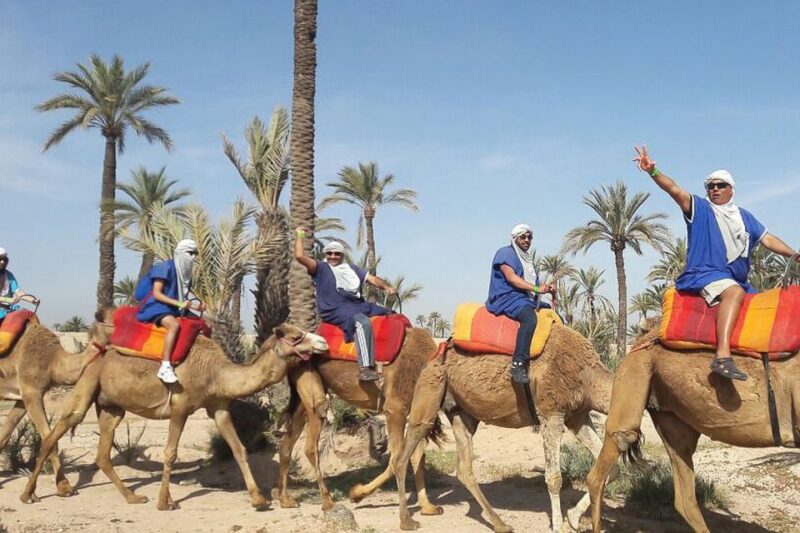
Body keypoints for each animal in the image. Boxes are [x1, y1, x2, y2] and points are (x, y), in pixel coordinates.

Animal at [0, 318, 110, 496]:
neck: (53, 361)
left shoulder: (22, 398)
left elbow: (4, 436)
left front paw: (63, 486)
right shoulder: (32, 392)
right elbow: (48, 438)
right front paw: (64, 487)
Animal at [19, 312, 328, 511]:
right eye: (296, 336)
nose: (322, 342)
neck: (216, 372)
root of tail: (96, 350)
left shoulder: (218, 407)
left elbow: (238, 448)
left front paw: (259, 499)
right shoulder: (181, 407)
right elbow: (170, 453)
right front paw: (164, 502)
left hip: (111, 407)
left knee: (103, 454)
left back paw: (133, 498)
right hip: (88, 382)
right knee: (57, 431)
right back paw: (30, 494)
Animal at [275, 326, 445, 516]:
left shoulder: (417, 414)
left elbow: (417, 457)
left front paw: (428, 507)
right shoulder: (395, 409)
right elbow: (397, 459)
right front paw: (356, 494)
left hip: (302, 396)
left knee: (287, 445)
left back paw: (285, 500)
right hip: (312, 391)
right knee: (310, 447)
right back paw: (327, 502)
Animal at [391, 324, 615, 533]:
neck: (587, 375)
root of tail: (436, 354)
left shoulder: (577, 416)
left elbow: (607, 468)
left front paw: (574, 518)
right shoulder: (552, 413)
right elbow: (554, 477)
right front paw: (559, 526)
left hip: (461, 413)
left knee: (464, 468)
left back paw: (500, 524)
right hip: (430, 388)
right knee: (403, 455)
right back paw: (407, 521)